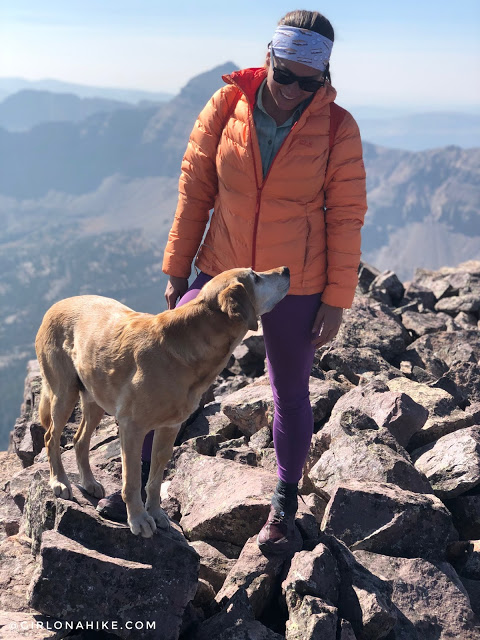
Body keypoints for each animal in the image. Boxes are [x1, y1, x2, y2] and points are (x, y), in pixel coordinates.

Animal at [34, 268, 288, 536]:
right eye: (256, 277)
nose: (286, 270)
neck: (184, 349)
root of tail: (57, 304)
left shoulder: (169, 428)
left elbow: (155, 479)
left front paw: (155, 512)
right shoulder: (132, 427)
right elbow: (133, 481)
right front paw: (138, 518)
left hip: (94, 397)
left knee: (79, 439)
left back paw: (89, 482)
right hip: (64, 393)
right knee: (51, 437)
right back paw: (60, 481)